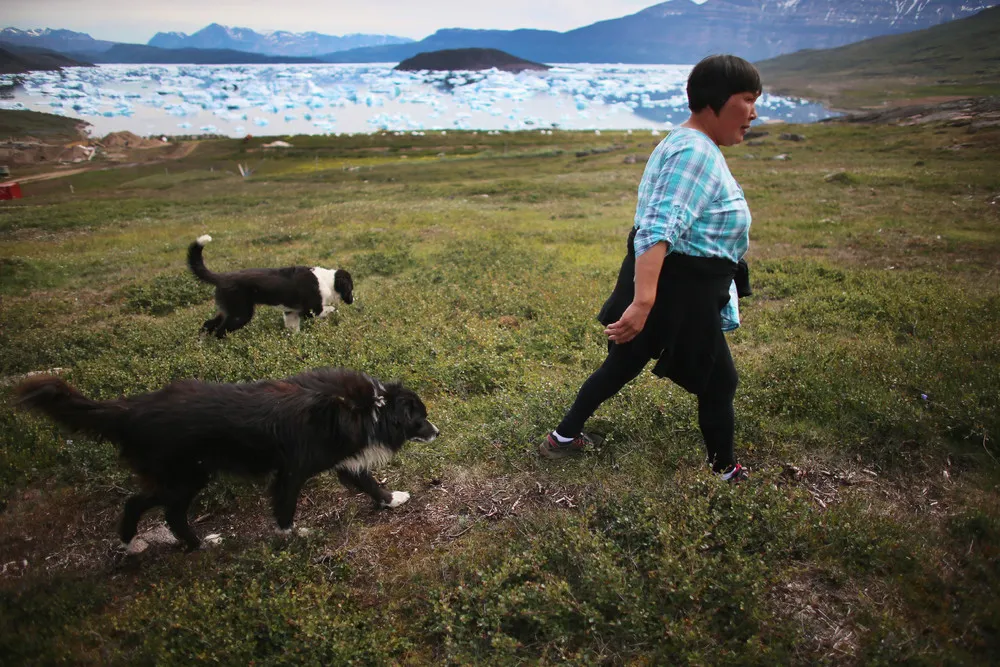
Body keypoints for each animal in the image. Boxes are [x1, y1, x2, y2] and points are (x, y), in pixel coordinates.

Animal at [15, 368, 438, 552]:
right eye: (420, 417)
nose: (437, 431)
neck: (371, 409)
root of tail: (131, 409)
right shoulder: (292, 470)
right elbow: (285, 506)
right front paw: (291, 534)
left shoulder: (344, 461)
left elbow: (368, 483)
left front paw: (392, 500)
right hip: (186, 477)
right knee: (162, 510)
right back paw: (195, 543)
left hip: (181, 477)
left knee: (142, 503)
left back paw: (138, 541)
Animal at [186, 236, 354, 340]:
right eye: (351, 288)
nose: (353, 300)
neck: (328, 281)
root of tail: (221, 277)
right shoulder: (310, 310)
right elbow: (332, 309)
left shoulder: (291, 312)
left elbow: (293, 330)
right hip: (240, 314)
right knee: (219, 332)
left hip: (228, 310)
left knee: (207, 325)